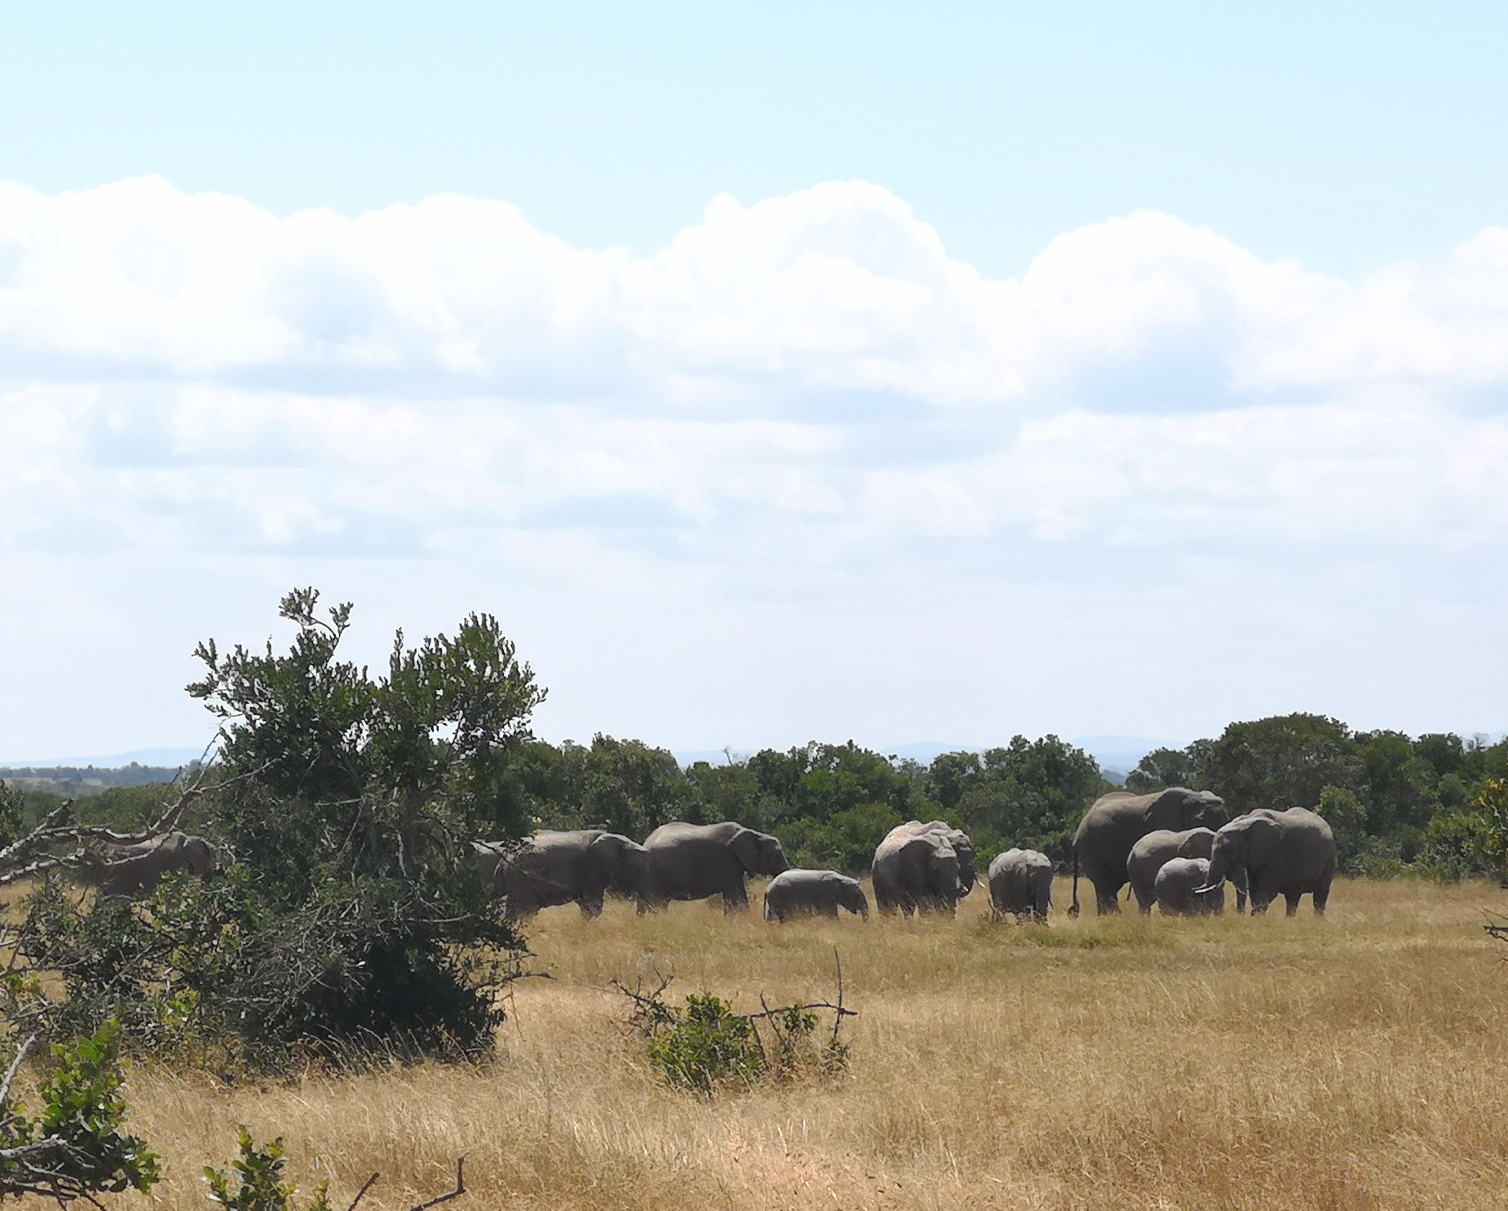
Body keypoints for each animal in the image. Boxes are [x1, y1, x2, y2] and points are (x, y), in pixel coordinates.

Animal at [476, 826, 648, 922]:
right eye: (635, 867)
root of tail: (501, 864)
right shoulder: (592, 869)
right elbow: (593, 905)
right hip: (521, 881)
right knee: (524, 911)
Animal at [636, 826, 790, 910]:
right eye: (774, 856)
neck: (754, 833)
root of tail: (646, 842)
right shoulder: (727, 861)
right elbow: (736, 895)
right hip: (654, 871)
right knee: (658, 903)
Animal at [1194, 808, 1339, 916]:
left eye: (1228, 852)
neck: (1245, 822)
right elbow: (1254, 889)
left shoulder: (1274, 853)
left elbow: (1267, 892)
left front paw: (1256, 915)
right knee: (1292, 898)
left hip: (1329, 859)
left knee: (1320, 896)